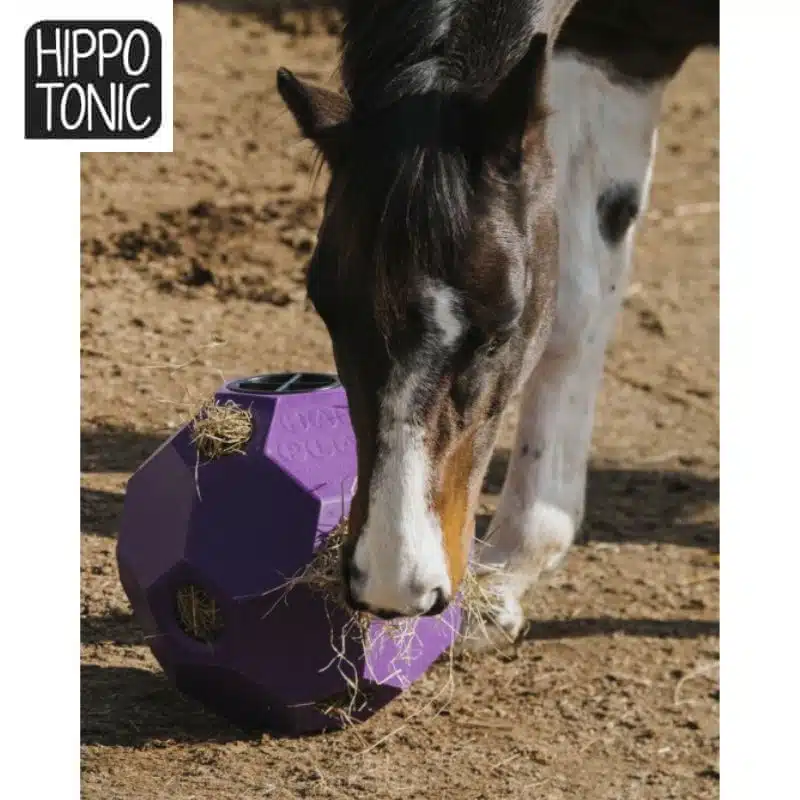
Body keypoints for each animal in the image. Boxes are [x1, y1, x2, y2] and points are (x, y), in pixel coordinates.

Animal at [276, 0, 719, 648]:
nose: (394, 584)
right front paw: (508, 575)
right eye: (326, 309)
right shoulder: (619, 44)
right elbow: (579, 295)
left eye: (502, 328)